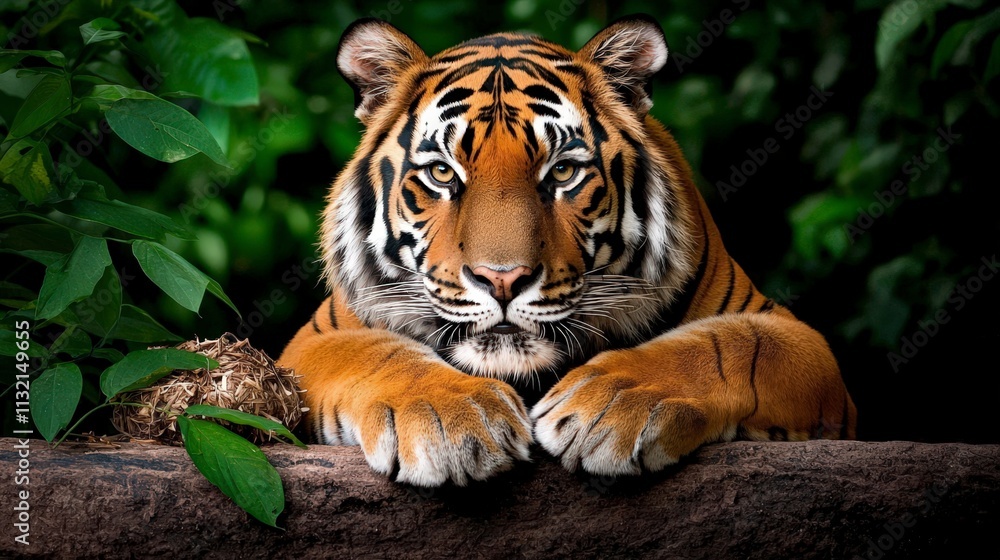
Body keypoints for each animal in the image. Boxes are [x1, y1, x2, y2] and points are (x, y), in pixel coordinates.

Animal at [278, 15, 857, 487]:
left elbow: (728, 346)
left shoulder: (799, 341)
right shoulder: (314, 340)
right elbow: (375, 352)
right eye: (442, 172)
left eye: (561, 172)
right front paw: (448, 419)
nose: (503, 279)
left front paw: (609, 405)